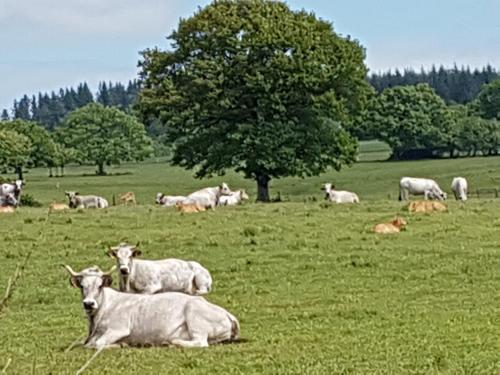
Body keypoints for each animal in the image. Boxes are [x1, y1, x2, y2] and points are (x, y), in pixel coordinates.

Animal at [63, 266, 239, 352]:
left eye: (100, 285)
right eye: (82, 286)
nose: (88, 303)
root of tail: (227, 314)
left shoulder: (118, 329)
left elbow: (97, 344)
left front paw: (121, 345)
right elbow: (87, 344)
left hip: (195, 317)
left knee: (200, 342)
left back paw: (171, 342)